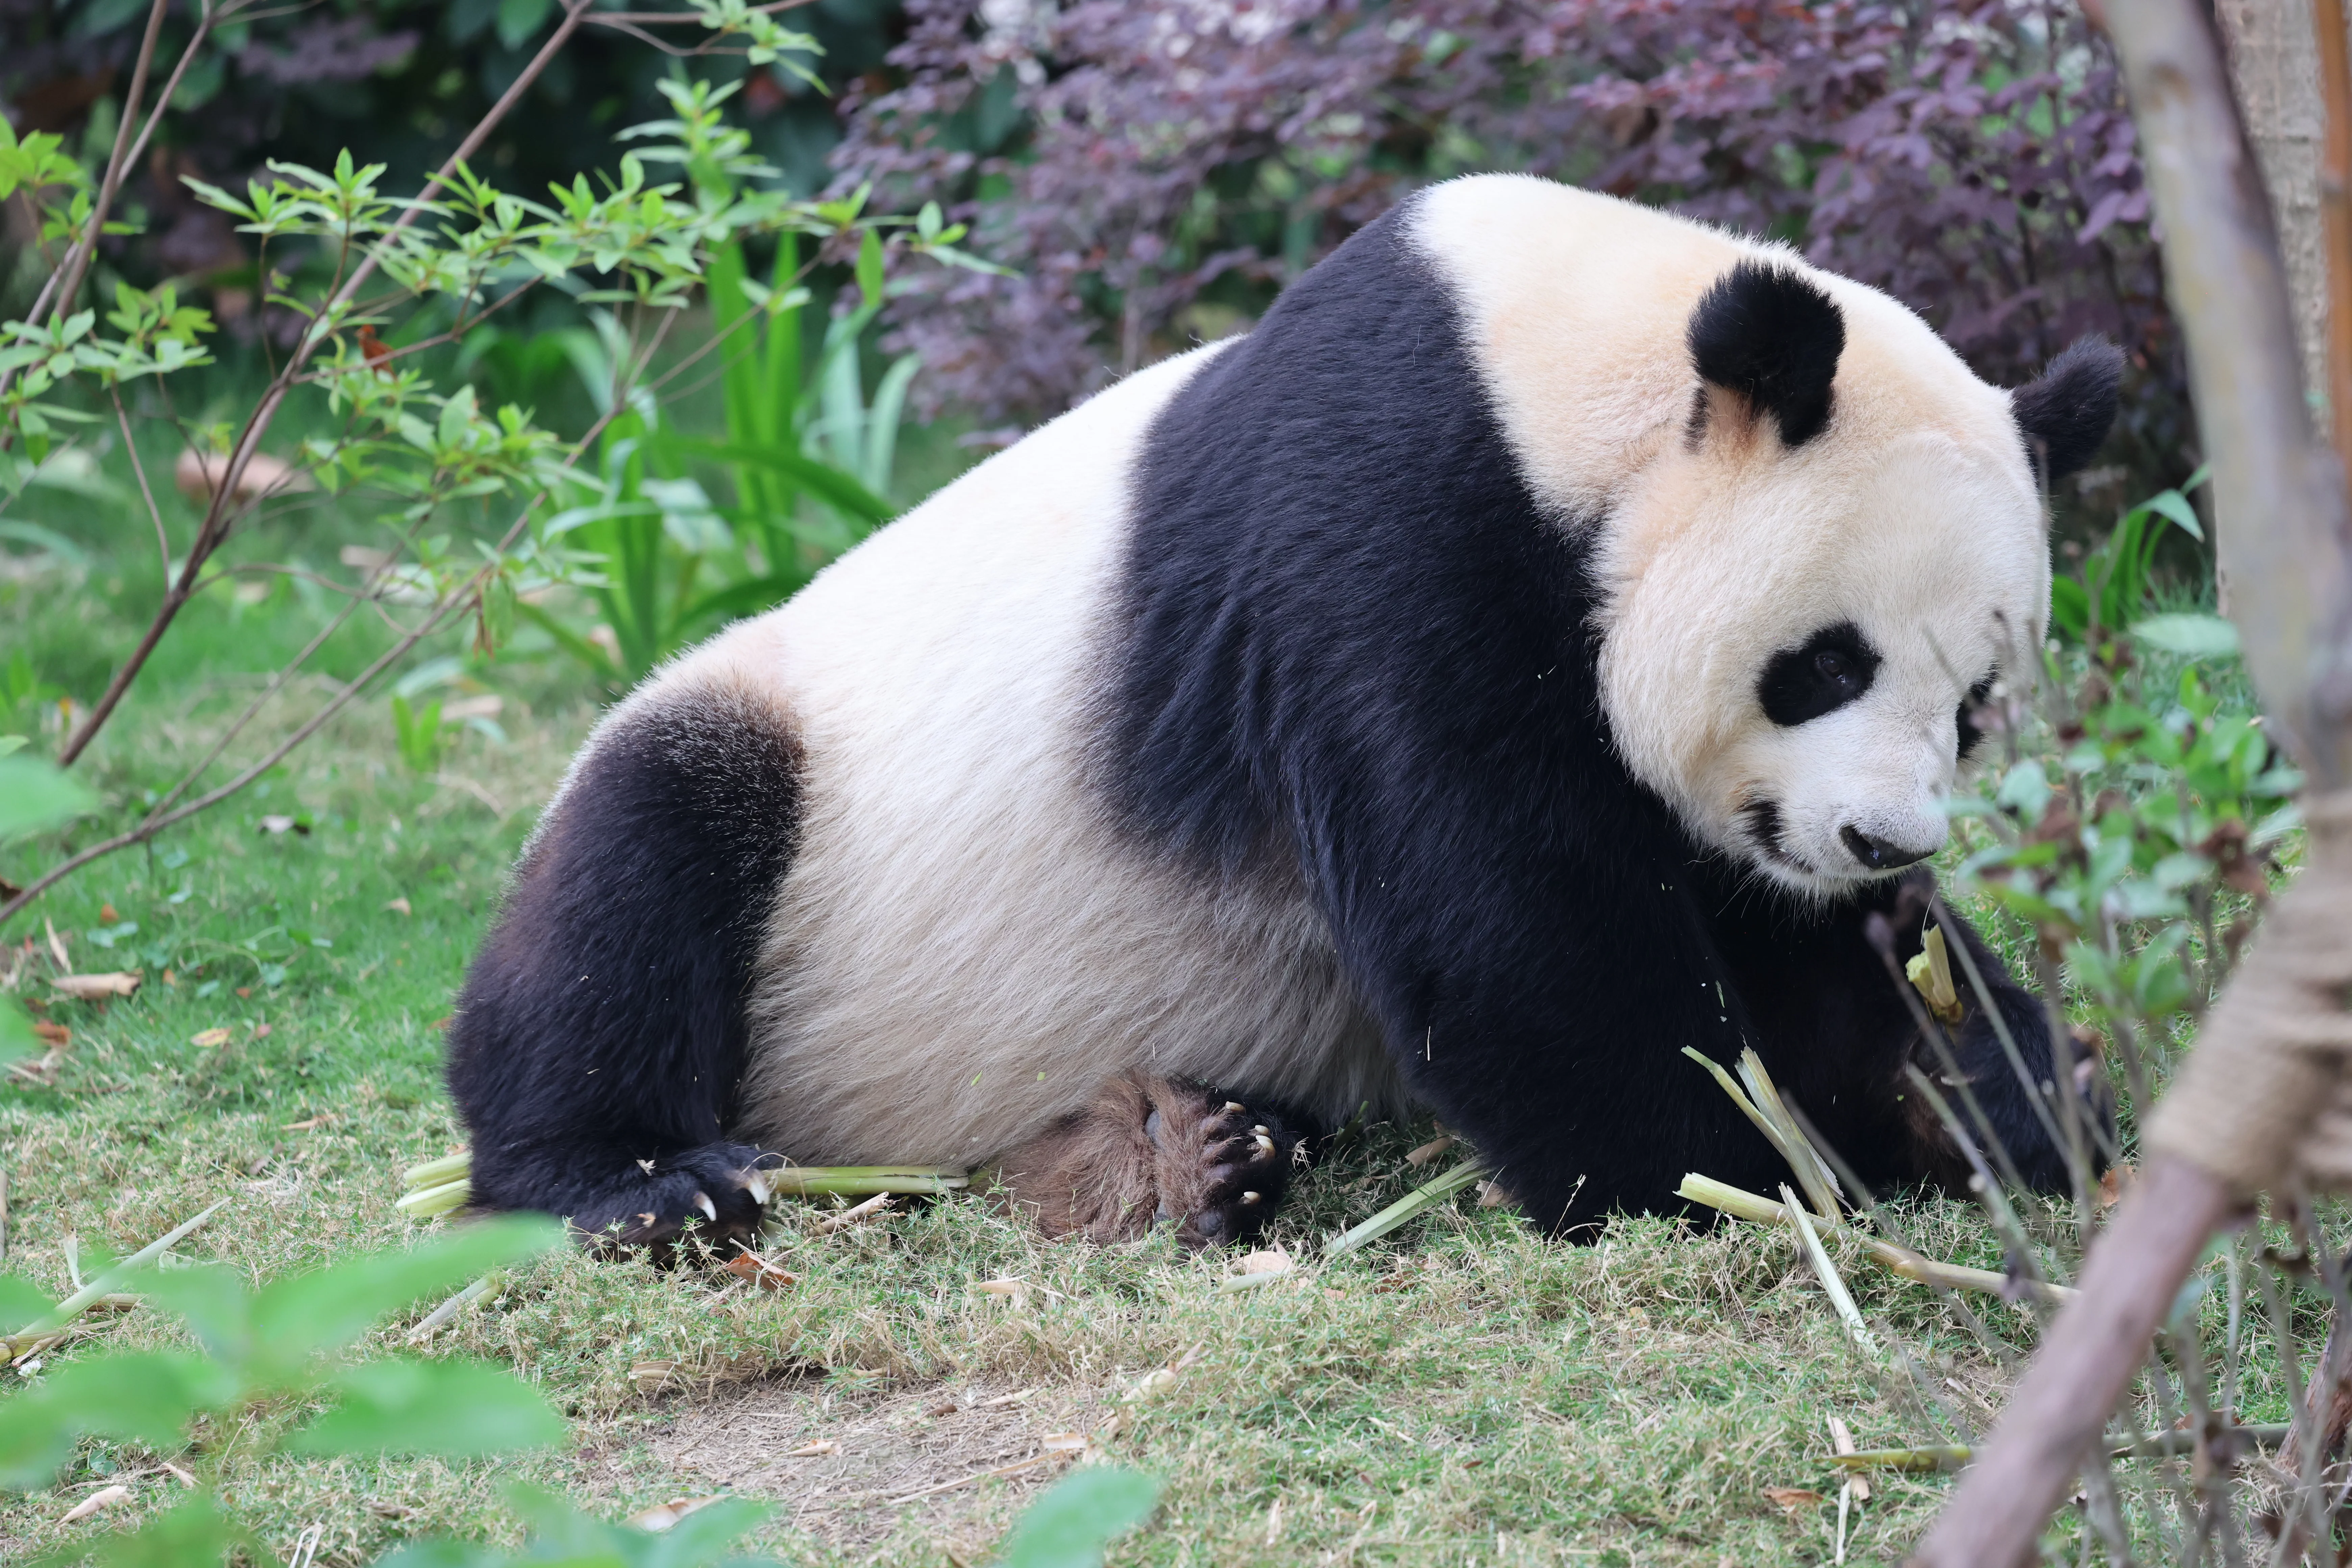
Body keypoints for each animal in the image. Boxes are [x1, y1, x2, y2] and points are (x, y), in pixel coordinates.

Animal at [446, 175, 2121, 1254]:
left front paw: (1997, 1094)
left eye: (1977, 702)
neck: (1572, 367)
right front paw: (1724, 1172)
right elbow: (1510, 920)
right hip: (785, 758)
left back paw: (1197, 1155)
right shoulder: (1388, 540)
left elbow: (1795, 953)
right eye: (1823, 663)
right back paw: (647, 1181)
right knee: (634, 869)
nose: (1878, 840)